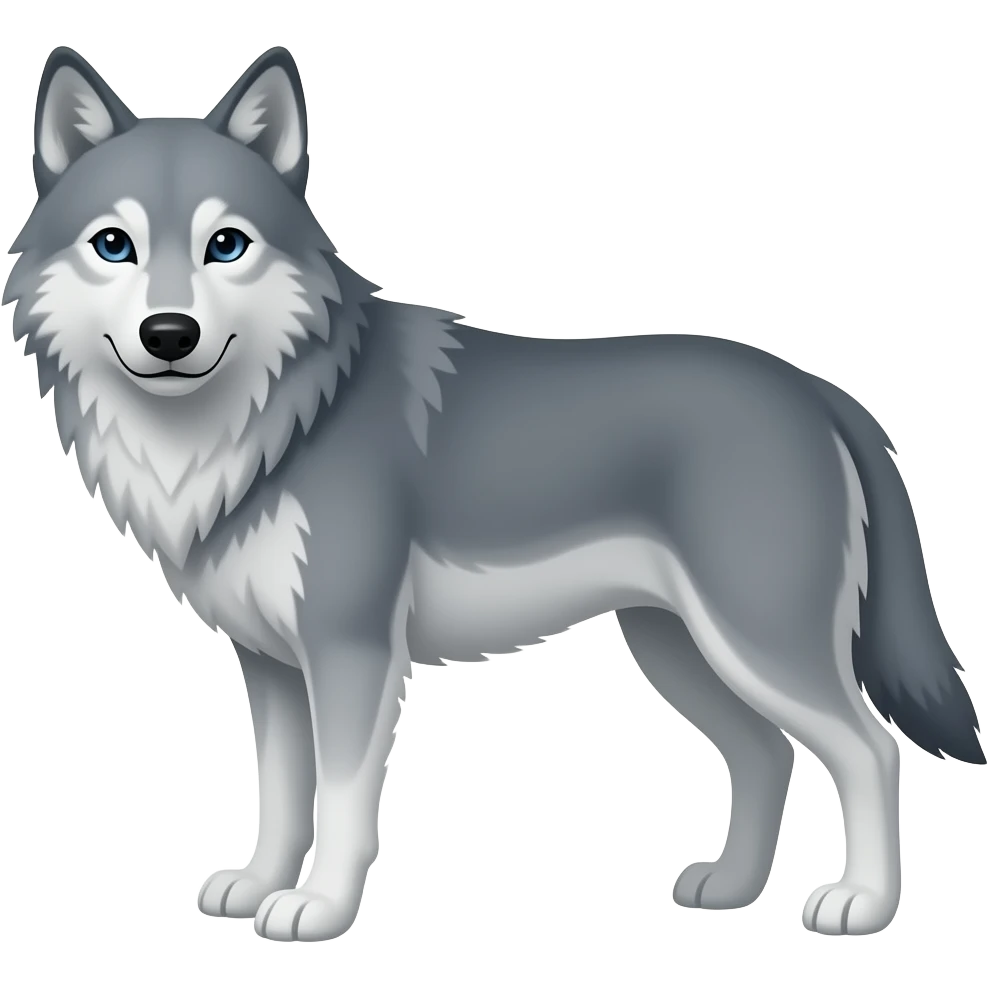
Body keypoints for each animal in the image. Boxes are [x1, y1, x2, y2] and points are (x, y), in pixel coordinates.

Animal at [4, 43, 983, 943]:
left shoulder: (352, 651)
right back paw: (731, 888)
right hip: (677, 649)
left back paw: (862, 903)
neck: (273, 419)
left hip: (756, 644)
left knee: (870, 749)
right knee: (767, 755)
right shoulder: (271, 664)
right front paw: (255, 885)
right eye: (114, 245)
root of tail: (820, 392)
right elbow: (281, 796)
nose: (170, 334)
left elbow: (343, 802)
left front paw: (318, 909)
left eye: (227, 246)